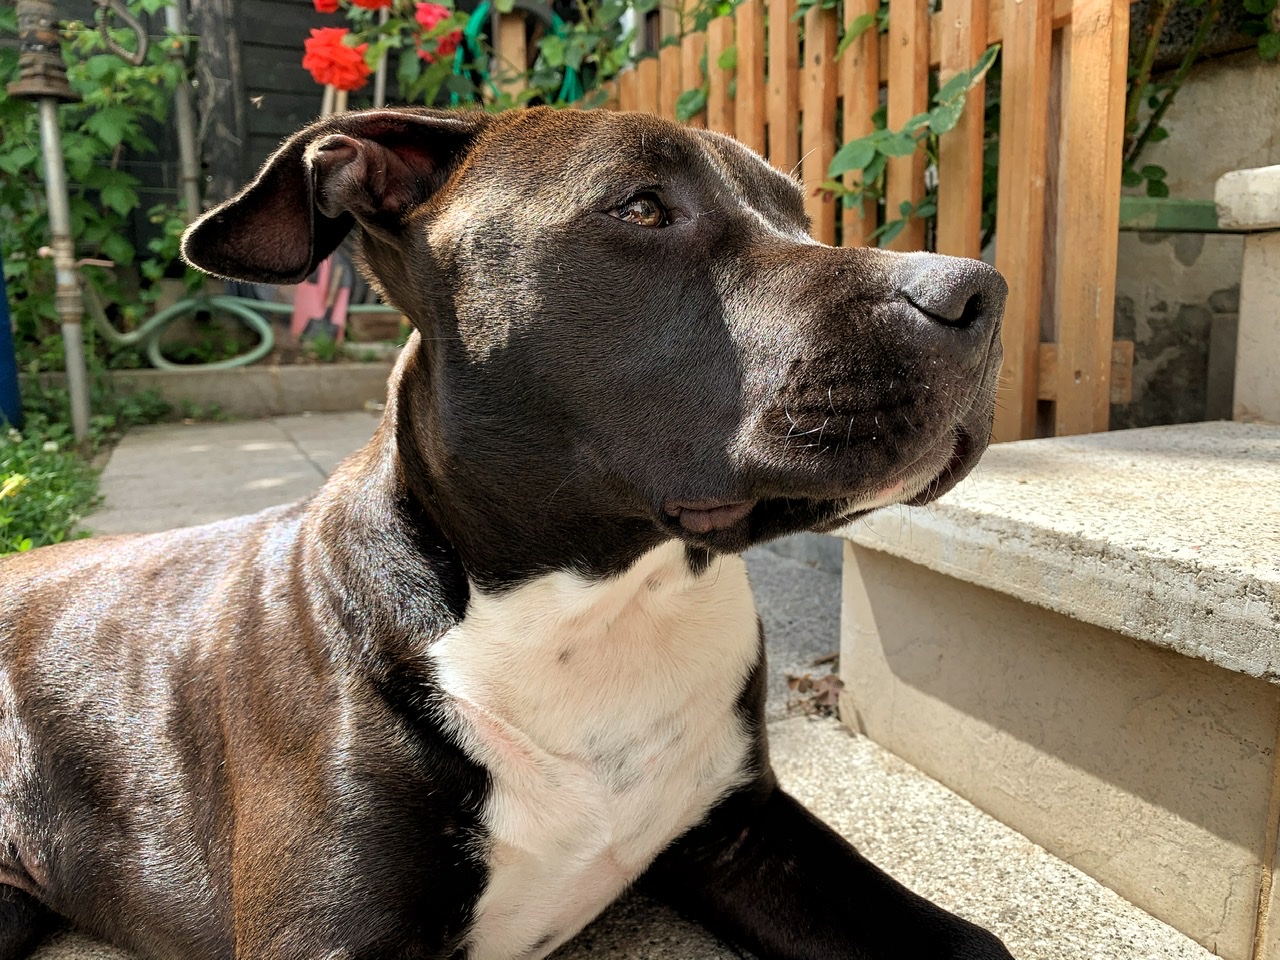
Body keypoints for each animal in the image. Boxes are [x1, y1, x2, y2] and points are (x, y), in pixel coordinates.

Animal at [0, 107, 1010, 960]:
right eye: (643, 207)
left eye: (798, 214)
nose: (980, 291)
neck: (597, 608)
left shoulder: (745, 831)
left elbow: (975, 943)